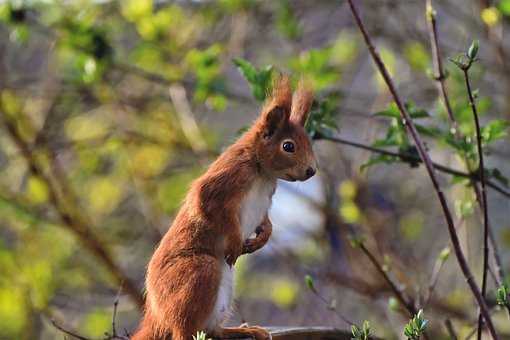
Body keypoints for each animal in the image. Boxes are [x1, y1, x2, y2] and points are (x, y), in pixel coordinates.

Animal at [132, 76, 314, 340]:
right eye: (288, 146)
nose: (312, 170)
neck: (263, 172)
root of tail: (157, 317)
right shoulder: (229, 176)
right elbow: (208, 204)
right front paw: (235, 240)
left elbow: (265, 221)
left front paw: (262, 238)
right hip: (198, 272)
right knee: (184, 329)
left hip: (224, 292)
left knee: (211, 330)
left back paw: (244, 330)